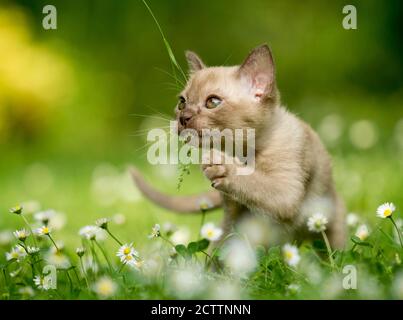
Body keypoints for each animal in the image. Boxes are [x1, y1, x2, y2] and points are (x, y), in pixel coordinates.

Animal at [133, 44, 348, 248]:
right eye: (182, 103)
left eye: (213, 102)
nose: (183, 118)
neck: (243, 153)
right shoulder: (234, 214)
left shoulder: (287, 192)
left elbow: (255, 182)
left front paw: (221, 166)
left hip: (329, 228)